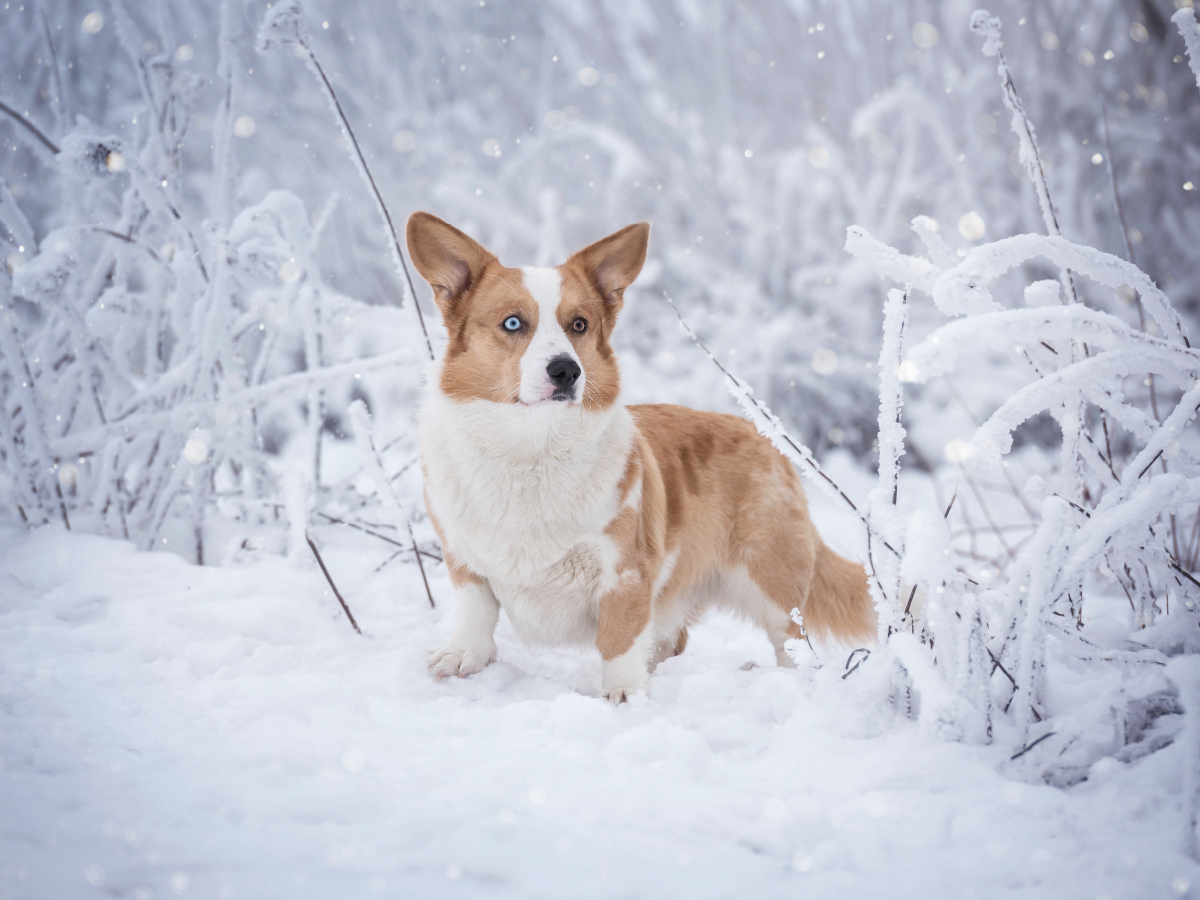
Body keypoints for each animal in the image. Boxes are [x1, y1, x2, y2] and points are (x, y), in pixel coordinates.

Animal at [405, 213, 873, 705]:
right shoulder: (464, 560)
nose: (566, 370)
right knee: (675, 637)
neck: (530, 447)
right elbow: (475, 613)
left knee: (793, 642)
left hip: (769, 577)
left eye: (579, 324)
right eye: (513, 323)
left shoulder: (625, 572)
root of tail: (768, 439)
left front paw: (624, 695)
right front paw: (464, 657)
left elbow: (618, 639)